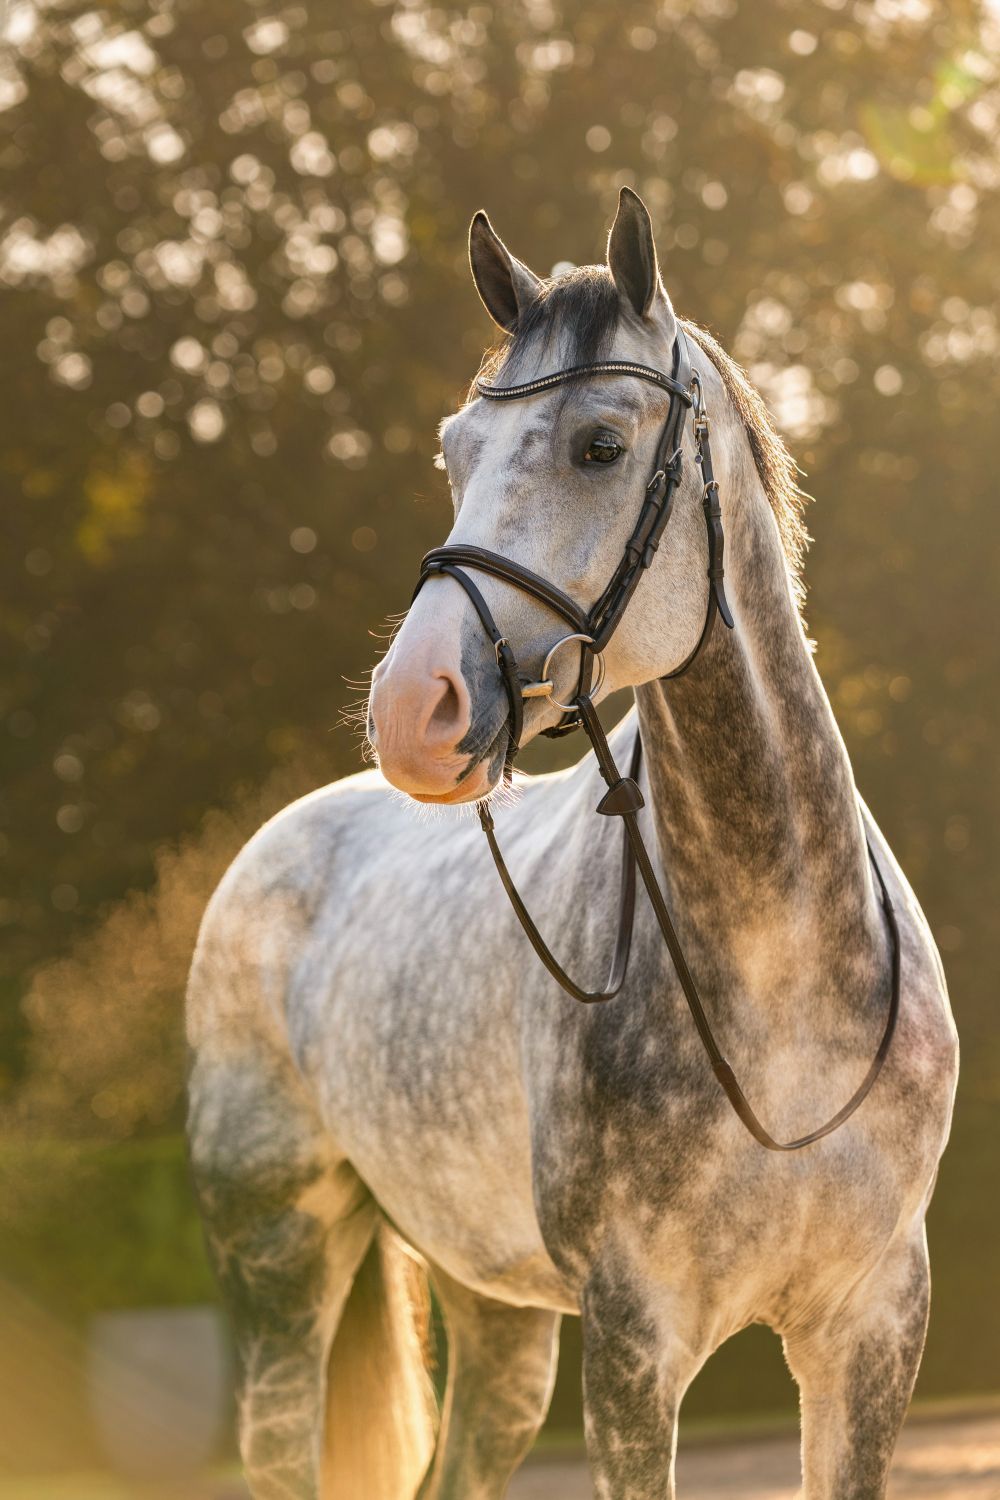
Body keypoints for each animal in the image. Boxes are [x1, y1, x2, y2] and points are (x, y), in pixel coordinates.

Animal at [186, 188, 958, 1500]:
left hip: (493, 1313)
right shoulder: (633, 1341)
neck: (786, 979)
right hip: (283, 1260)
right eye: (453, 451)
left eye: (599, 445)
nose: (414, 709)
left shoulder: (870, 1331)